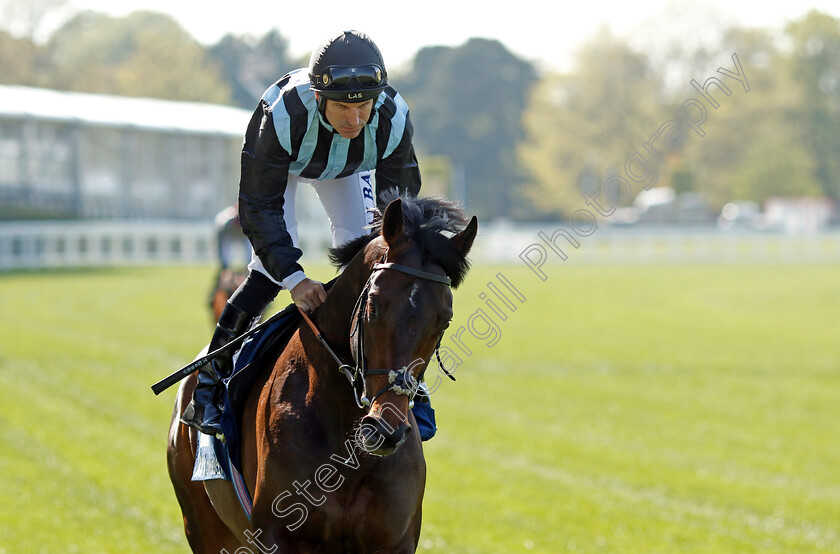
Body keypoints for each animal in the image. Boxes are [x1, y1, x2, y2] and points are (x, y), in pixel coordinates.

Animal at [167, 193, 480, 548]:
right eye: (373, 304)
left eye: (446, 319)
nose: (385, 430)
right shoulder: (277, 537)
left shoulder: (395, 540)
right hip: (203, 525)